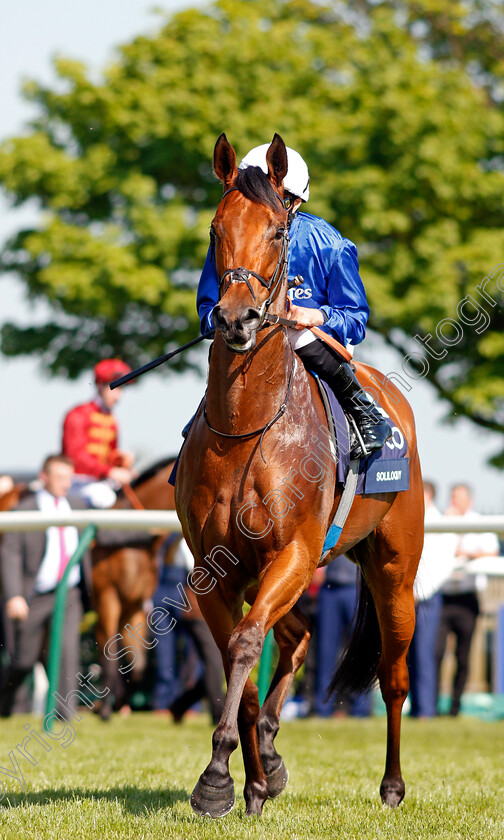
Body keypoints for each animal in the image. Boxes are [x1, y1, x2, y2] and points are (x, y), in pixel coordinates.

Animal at [175, 135, 424, 816]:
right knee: (297, 635)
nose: (236, 318)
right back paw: (270, 752)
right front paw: (248, 780)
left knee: (394, 677)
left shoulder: (292, 552)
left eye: (280, 230)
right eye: (215, 229)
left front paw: (218, 778)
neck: (247, 429)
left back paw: (392, 786)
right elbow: (240, 656)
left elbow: (243, 646)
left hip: (394, 569)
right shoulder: (217, 570)